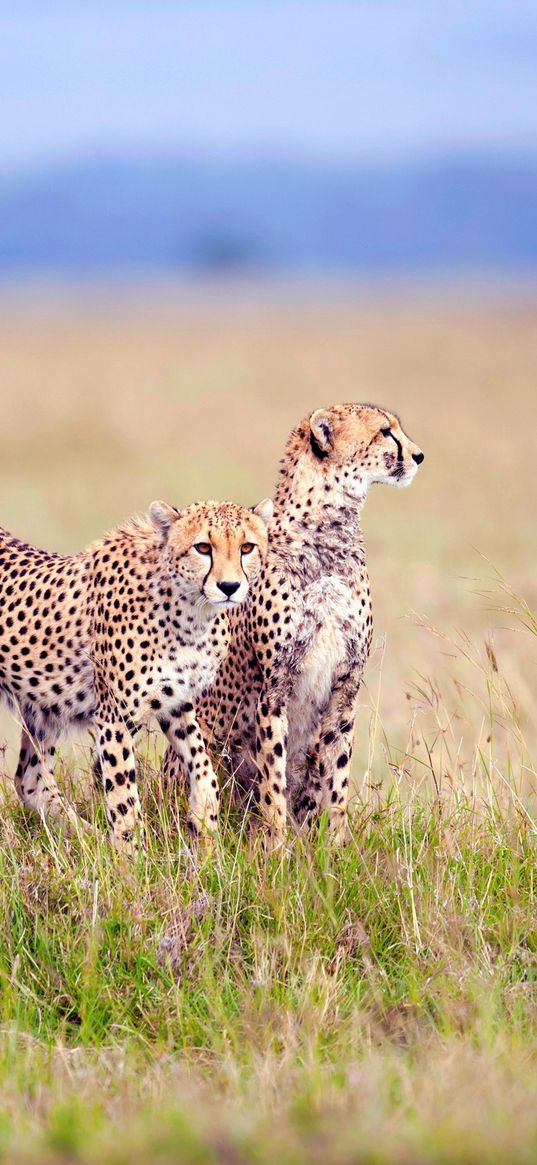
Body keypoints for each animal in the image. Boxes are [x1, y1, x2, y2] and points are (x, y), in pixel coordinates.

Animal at [0, 496, 270, 852]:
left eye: (247, 547)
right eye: (203, 547)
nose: (229, 586)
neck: (191, 611)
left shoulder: (176, 702)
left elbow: (202, 763)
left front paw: (205, 822)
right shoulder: (115, 717)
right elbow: (123, 796)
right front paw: (131, 855)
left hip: (44, 708)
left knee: (30, 780)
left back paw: (89, 839)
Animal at [163, 407, 421, 848]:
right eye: (385, 432)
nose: (419, 455)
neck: (329, 533)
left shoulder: (346, 684)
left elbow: (337, 770)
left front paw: (335, 844)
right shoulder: (274, 686)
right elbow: (273, 774)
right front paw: (276, 846)